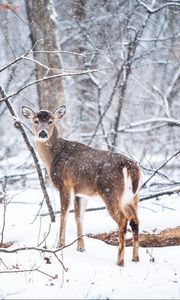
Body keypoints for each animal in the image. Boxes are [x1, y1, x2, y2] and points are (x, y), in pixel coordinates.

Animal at [21, 105, 142, 268]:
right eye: (36, 120)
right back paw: (135, 258)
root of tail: (130, 166)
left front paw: (60, 244)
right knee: (135, 220)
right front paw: (81, 247)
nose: (42, 133)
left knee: (123, 219)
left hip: (109, 191)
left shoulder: (64, 185)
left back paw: (120, 261)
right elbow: (79, 217)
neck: (53, 157)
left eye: (51, 121)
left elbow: (64, 214)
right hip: (133, 196)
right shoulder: (80, 192)